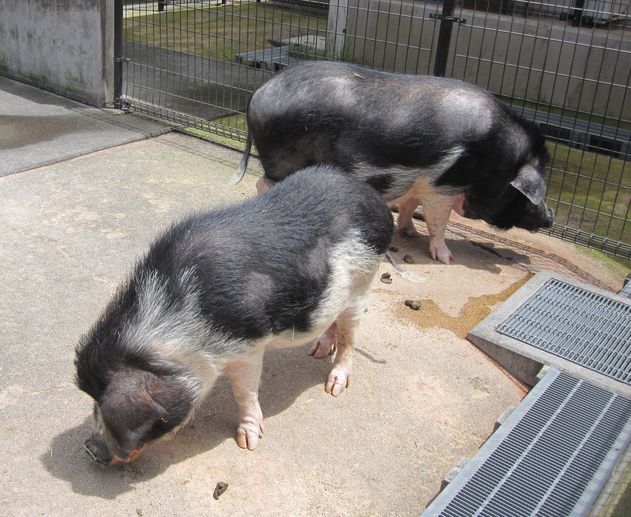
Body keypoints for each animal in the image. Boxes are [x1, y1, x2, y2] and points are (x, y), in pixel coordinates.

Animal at [73, 165, 390, 464]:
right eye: (94, 402)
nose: (90, 449)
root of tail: (374, 201)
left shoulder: (247, 346)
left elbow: (244, 392)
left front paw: (247, 443)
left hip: (364, 280)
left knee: (349, 337)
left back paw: (334, 387)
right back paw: (317, 351)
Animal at [232, 59, 552, 262]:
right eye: (526, 195)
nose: (549, 216)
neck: (496, 160)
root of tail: (257, 93)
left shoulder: (421, 180)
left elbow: (411, 204)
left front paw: (409, 232)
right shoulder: (443, 185)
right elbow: (439, 222)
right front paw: (446, 258)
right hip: (282, 157)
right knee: (264, 183)